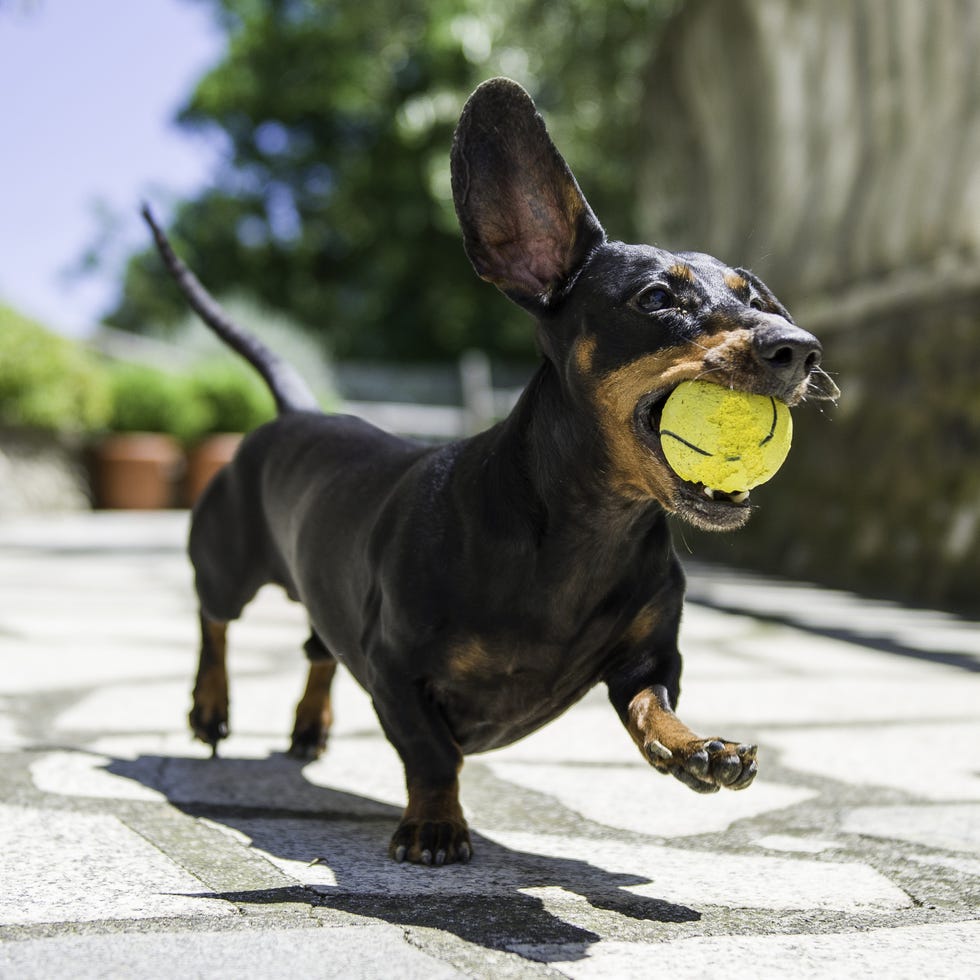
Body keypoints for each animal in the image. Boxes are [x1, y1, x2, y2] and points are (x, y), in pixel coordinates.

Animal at [144, 80, 836, 868]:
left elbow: (648, 704)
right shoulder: (395, 667)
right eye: (658, 298)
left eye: (755, 298)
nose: (800, 349)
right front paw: (434, 825)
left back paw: (309, 726)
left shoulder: (650, 657)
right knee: (214, 621)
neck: (584, 535)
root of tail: (297, 411)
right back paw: (210, 708)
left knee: (316, 648)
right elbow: (432, 754)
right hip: (226, 561)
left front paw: (696, 749)